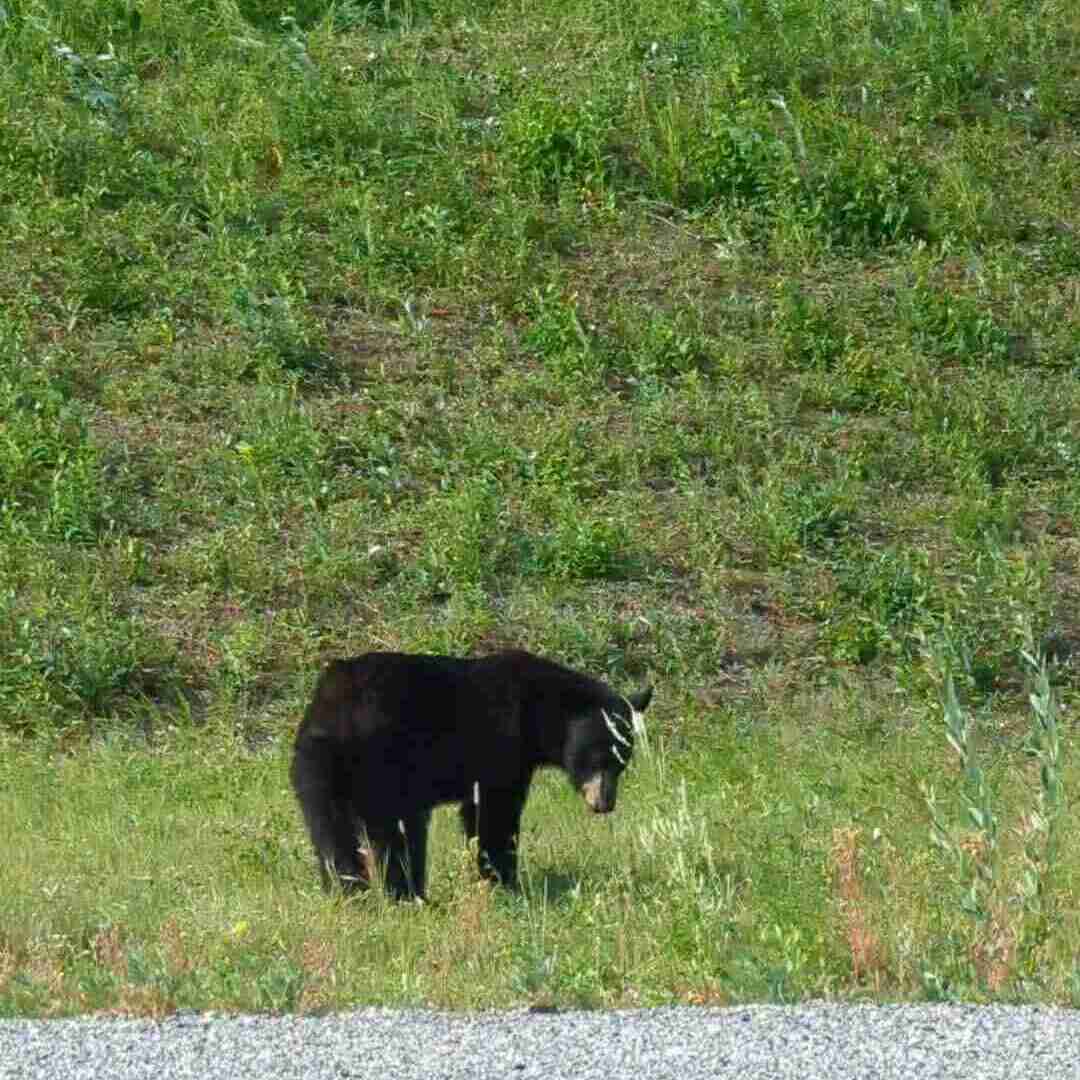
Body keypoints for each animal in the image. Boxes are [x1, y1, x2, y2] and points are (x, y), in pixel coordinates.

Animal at [290, 649, 653, 900]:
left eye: (622, 763)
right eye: (600, 758)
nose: (605, 803)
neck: (540, 713)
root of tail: (332, 712)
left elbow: (475, 812)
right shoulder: (502, 745)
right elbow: (495, 814)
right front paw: (504, 880)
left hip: (315, 770)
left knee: (330, 833)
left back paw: (347, 892)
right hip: (382, 763)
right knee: (397, 833)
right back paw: (407, 894)